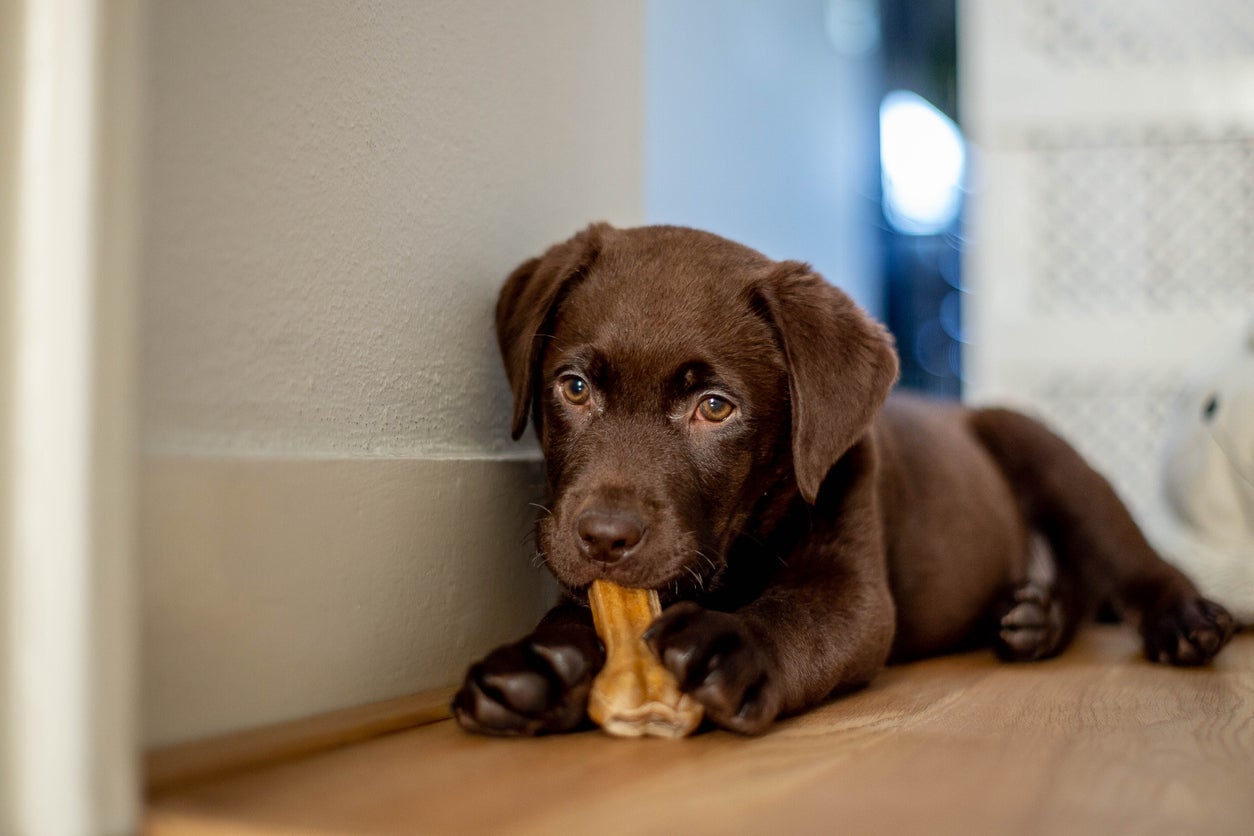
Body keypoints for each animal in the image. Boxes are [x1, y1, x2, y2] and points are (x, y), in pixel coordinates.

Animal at [453, 225, 1233, 736]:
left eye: (715, 407)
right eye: (574, 387)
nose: (604, 537)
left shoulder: (853, 587)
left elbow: (796, 615)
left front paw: (728, 643)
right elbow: (574, 620)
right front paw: (540, 666)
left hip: (1049, 455)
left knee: (1132, 559)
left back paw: (1185, 620)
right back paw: (1035, 616)